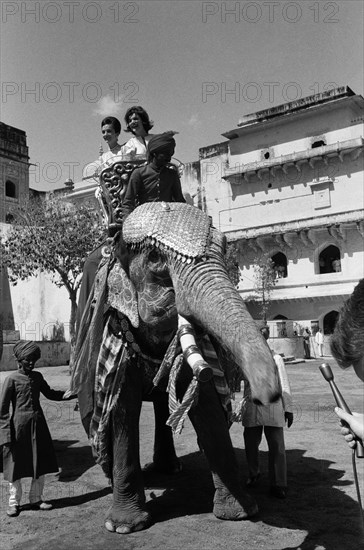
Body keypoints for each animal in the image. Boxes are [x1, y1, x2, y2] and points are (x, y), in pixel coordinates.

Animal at [70, 202, 282, 536]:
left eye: (224, 249)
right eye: (156, 259)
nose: (266, 397)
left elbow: (207, 404)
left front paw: (240, 513)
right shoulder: (115, 334)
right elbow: (121, 410)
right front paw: (122, 527)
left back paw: (169, 468)